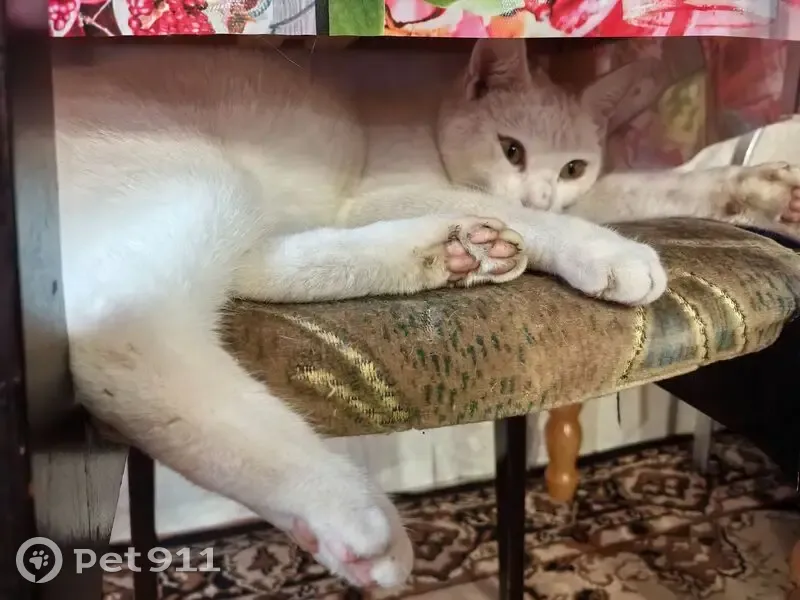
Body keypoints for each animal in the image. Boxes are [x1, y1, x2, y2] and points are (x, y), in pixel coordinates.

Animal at [53, 38, 799, 589]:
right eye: (511, 149)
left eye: (573, 167)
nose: (538, 193)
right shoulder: (388, 188)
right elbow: (521, 208)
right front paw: (601, 248)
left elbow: (638, 188)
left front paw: (756, 189)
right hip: (199, 181)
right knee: (126, 336)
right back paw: (348, 510)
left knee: (254, 266)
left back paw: (453, 250)